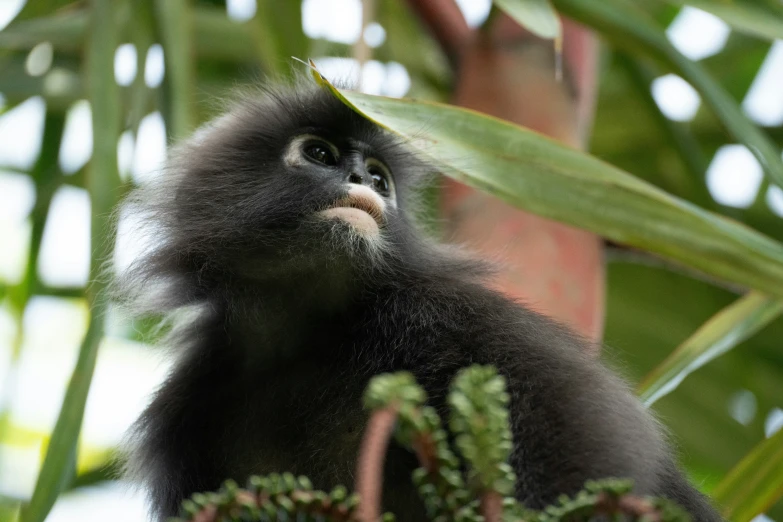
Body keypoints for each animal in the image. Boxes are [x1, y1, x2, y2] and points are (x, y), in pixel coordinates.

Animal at [119, 81, 724, 520]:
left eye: (379, 178)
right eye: (319, 153)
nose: (362, 177)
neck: (310, 330)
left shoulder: (449, 312)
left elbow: (587, 446)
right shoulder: (186, 412)